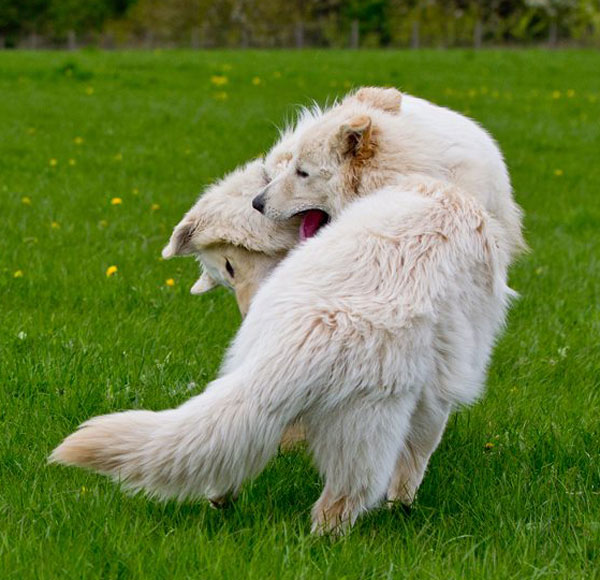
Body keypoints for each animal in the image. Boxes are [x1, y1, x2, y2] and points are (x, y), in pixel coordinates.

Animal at [50, 177, 510, 536]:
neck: (445, 198)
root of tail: (311, 334)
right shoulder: (437, 391)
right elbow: (416, 457)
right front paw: (404, 505)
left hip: (246, 372)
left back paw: (222, 498)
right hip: (368, 433)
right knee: (339, 502)